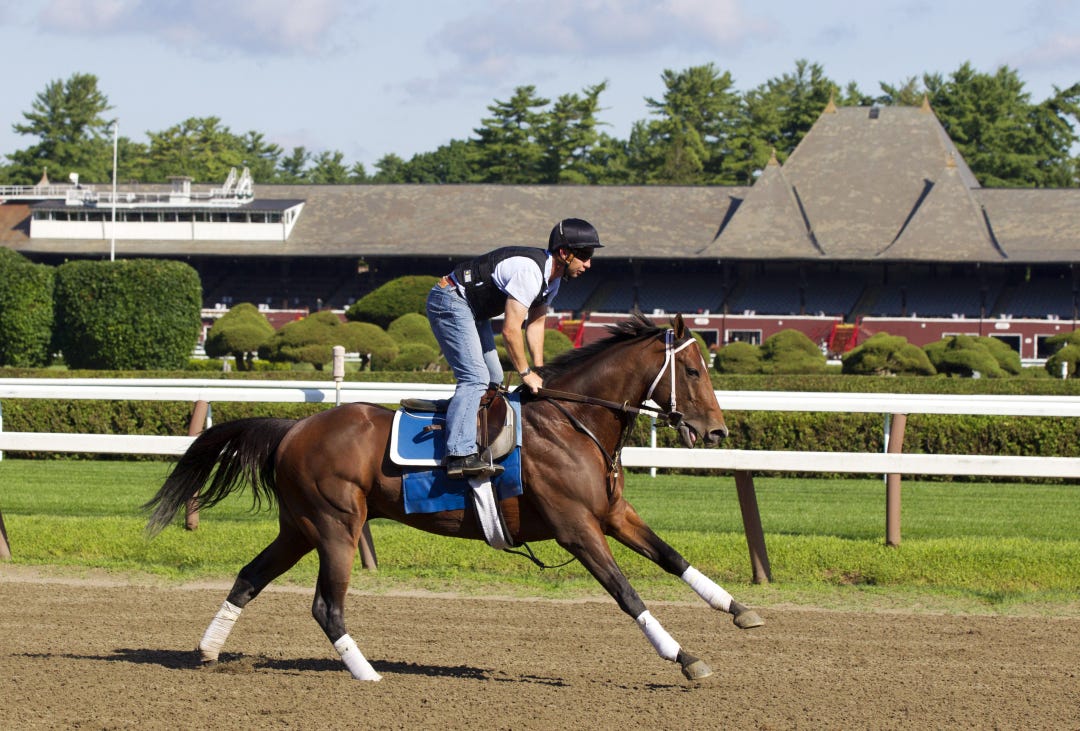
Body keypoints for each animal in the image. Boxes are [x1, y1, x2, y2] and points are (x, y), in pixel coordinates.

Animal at [144, 312, 763, 682]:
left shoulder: (613, 514)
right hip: (336, 524)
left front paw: (739, 610)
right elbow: (627, 592)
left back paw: (207, 651)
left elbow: (673, 557)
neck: (574, 423)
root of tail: (293, 427)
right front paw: (684, 657)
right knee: (326, 605)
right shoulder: (576, 528)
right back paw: (368, 674)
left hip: (299, 527)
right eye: (693, 369)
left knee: (250, 576)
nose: (716, 432)